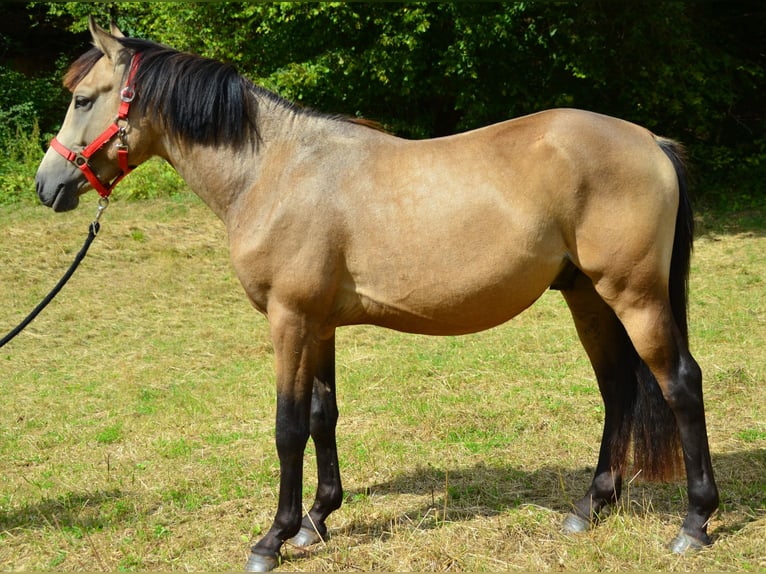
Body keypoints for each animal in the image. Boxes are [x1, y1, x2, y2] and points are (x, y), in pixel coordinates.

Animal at [35, 18, 719, 571]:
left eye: (83, 98)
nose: (48, 185)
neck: (276, 169)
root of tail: (650, 141)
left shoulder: (289, 319)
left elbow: (287, 426)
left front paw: (272, 538)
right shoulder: (319, 323)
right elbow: (323, 415)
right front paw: (315, 522)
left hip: (634, 296)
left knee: (680, 383)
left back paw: (694, 523)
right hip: (587, 296)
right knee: (619, 389)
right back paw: (590, 506)